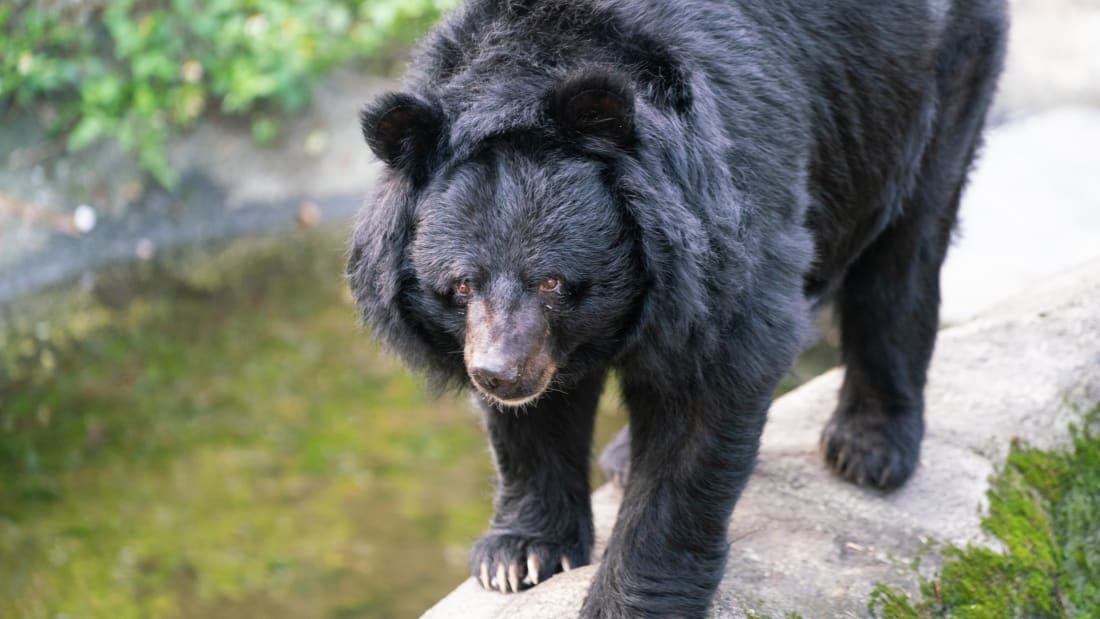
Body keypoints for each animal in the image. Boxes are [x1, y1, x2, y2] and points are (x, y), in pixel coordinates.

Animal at [349, 1, 1007, 615]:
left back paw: (868, 448)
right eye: (462, 286)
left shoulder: (724, 223)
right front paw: (519, 558)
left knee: (905, 249)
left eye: (554, 283)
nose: (500, 375)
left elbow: (707, 400)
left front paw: (627, 601)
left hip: (928, 83)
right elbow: (534, 424)